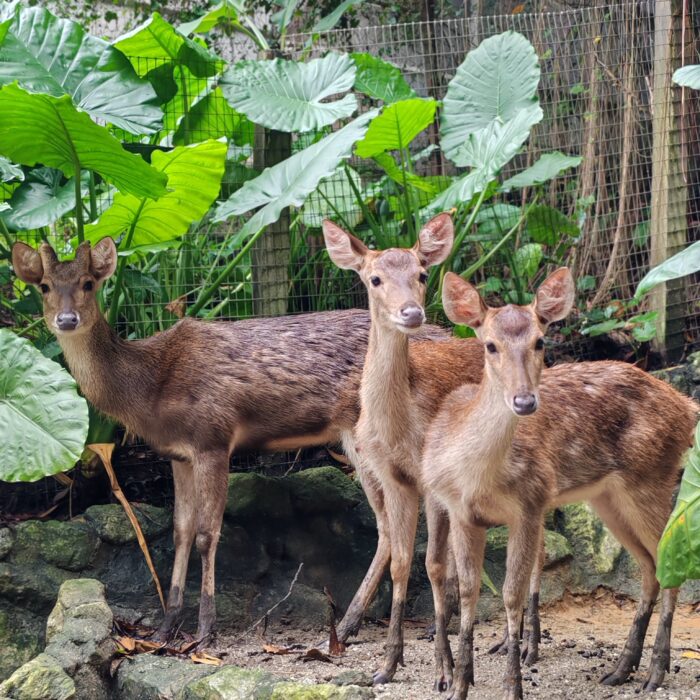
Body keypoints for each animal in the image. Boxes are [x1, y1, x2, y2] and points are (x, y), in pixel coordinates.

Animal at [11, 236, 454, 643]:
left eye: (88, 283)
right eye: (44, 286)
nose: (66, 319)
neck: (151, 390)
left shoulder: (213, 437)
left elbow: (208, 534)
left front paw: (205, 630)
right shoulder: (177, 454)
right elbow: (180, 531)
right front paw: (166, 627)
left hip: (369, 436)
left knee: (393, 524)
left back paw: (352, 626)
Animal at [322, 213, 488, 685]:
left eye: (422, 274)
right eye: (374, 277)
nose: (411, 312)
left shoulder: (432, 481)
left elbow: (432, 565)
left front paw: (443, 670)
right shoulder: (393, 477)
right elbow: (401, 561)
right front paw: (388, 665)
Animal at [422, 269, 697, 699]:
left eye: (540, 340)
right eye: (490, 345)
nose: (524, 401)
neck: (474, 476)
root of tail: (687, 407)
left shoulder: (530, 503)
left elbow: (511, 594)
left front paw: (512, 686)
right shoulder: (461, 511)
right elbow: (467, 592)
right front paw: (458, 686)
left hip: (650, 479)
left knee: (668, 562)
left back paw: (655, 671)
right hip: (609, 498)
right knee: (650, 567)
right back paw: (622, 668)